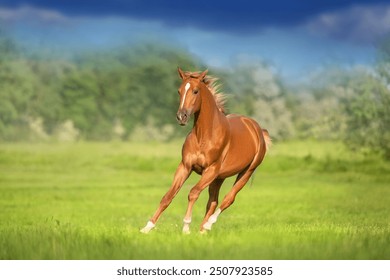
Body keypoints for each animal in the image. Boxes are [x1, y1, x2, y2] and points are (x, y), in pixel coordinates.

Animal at [141, 68, 272, 234]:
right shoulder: (185, 166)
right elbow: (168, 196)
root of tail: (258, 130)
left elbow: (193, 193)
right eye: (179, 91)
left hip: (246, 172)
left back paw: (208, 225)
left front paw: (186, 227)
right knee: (213, 201)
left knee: (228, 198)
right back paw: (202, 231)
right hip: (219, 178)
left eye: (196, 91)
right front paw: (147, 227)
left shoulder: (210, 170)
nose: (181, 116)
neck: (204, 136)